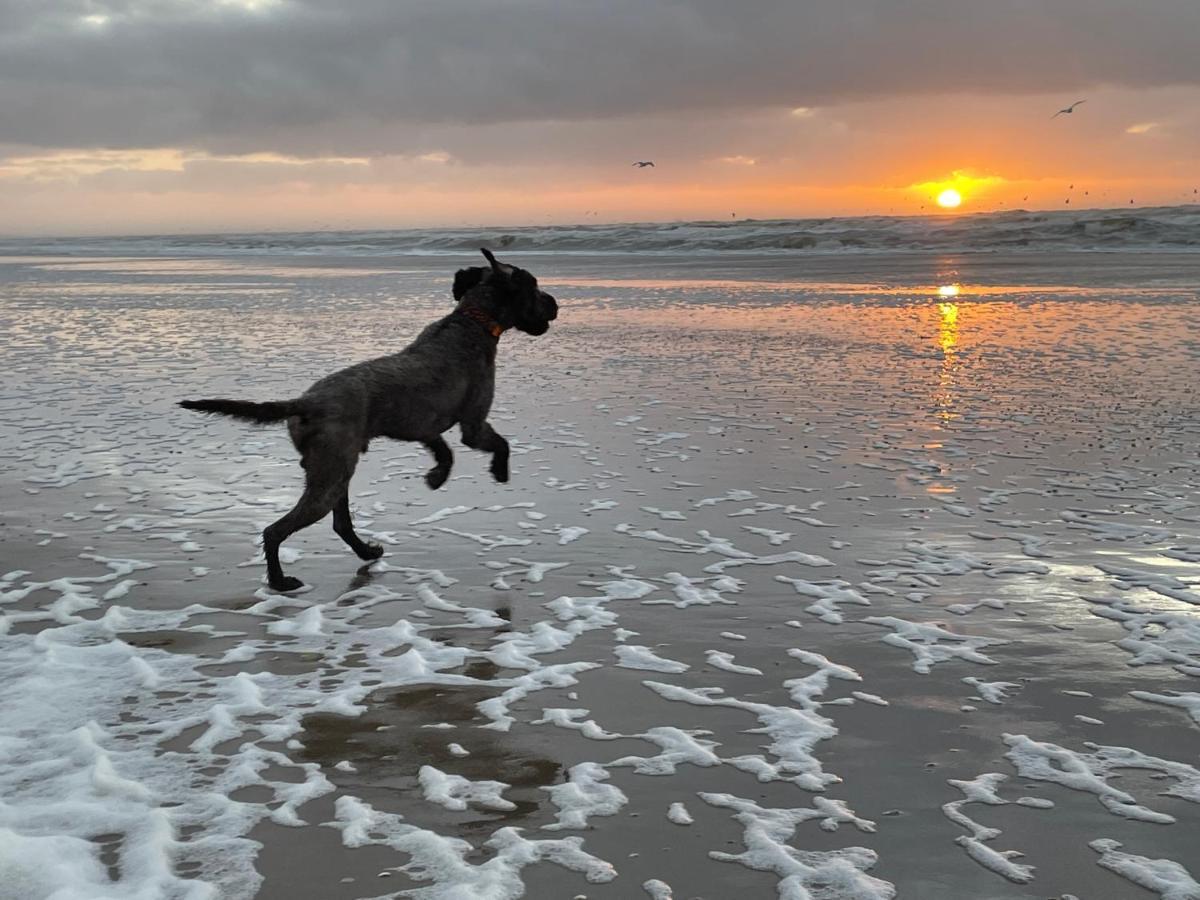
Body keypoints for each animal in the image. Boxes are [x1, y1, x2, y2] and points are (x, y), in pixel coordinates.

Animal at [178, 250, 561, 595]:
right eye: (534, 287)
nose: (556, 304)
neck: (472, 320)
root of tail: (306, 402)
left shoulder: (423, 426)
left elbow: (444, 450)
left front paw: (436, 476)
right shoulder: (473, 423)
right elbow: (499, 443)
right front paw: (499, 470)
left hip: (335, 470)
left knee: (340, 522)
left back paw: (365, 551)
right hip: (331, 475)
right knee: (277, 530)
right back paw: (280, 581)